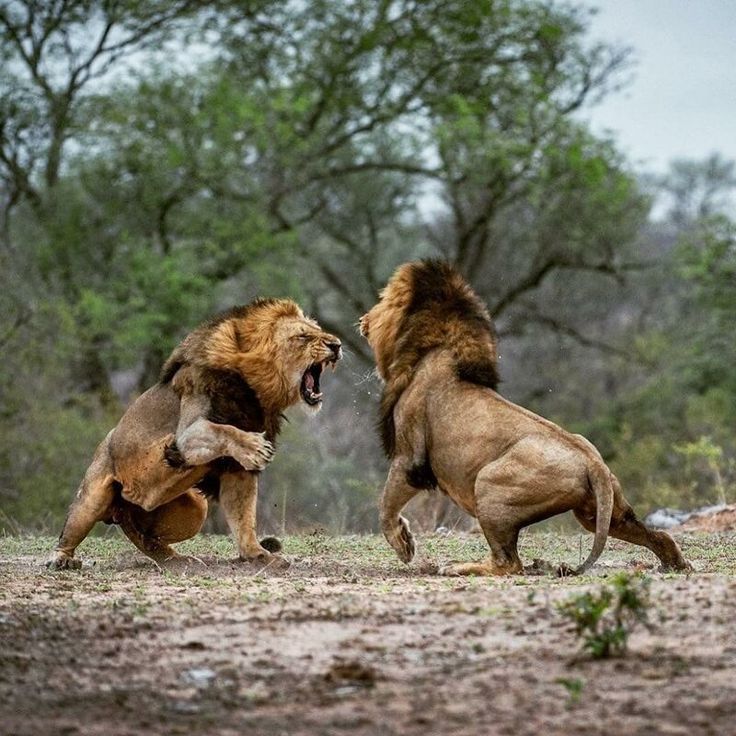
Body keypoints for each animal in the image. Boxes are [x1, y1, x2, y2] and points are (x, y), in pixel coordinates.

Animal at [47, 298, 342, 570]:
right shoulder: (187, 434)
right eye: (302, 336)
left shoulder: (236, 470)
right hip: (91, 497)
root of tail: (123, 509)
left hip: (195, 509)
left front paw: (258, 555)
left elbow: (243, 517)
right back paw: (61, 560)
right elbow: (222, 431)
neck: (257, 393)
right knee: (72, 531)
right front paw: (255, 447)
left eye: (318, 330)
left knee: (149, 538)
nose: (337, 345)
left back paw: (176, 559)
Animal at [359, 260, 690, 575]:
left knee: (508, 563)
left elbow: (385, 506)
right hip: (602, 513)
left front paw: (404, 545)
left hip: (489, 485)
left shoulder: (409, 458)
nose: (362, 320)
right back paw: (675, 564)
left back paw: (458, 567)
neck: (436, 347)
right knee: (659, 536)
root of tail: (593, 463)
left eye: (382, 300)